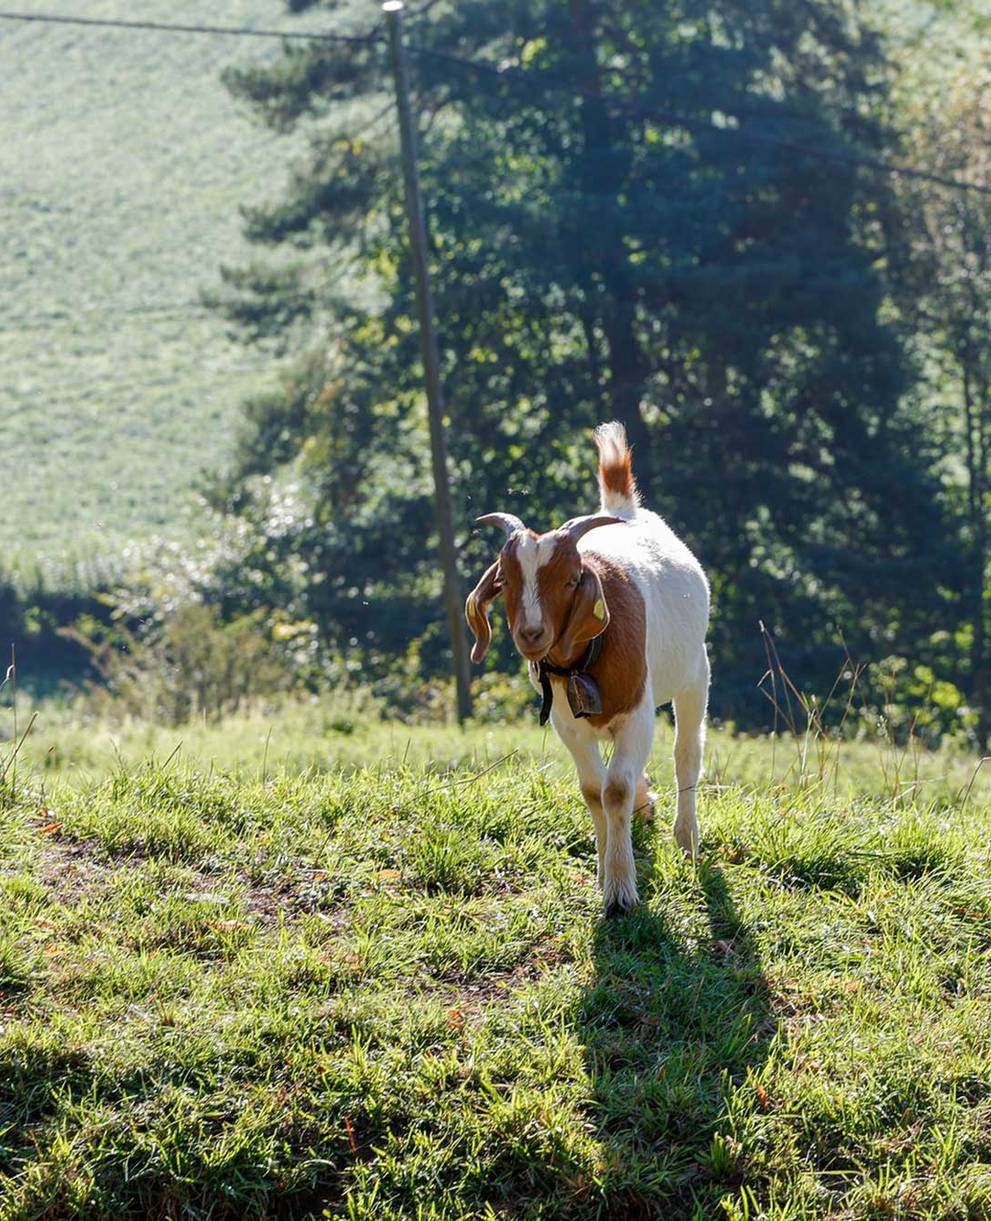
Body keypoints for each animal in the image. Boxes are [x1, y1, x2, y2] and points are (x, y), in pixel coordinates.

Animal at [466, 424, 707, 913]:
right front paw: (605, 871)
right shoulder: (568, 725)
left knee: (686, 754)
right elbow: (595, 790)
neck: (584, 659)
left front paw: (621, 892)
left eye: (572, 579)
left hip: (696, 675)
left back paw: (686, 838)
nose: (532, 633)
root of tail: (622, 507)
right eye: (505, 580)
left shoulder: (636, 715)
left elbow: (615, 789)